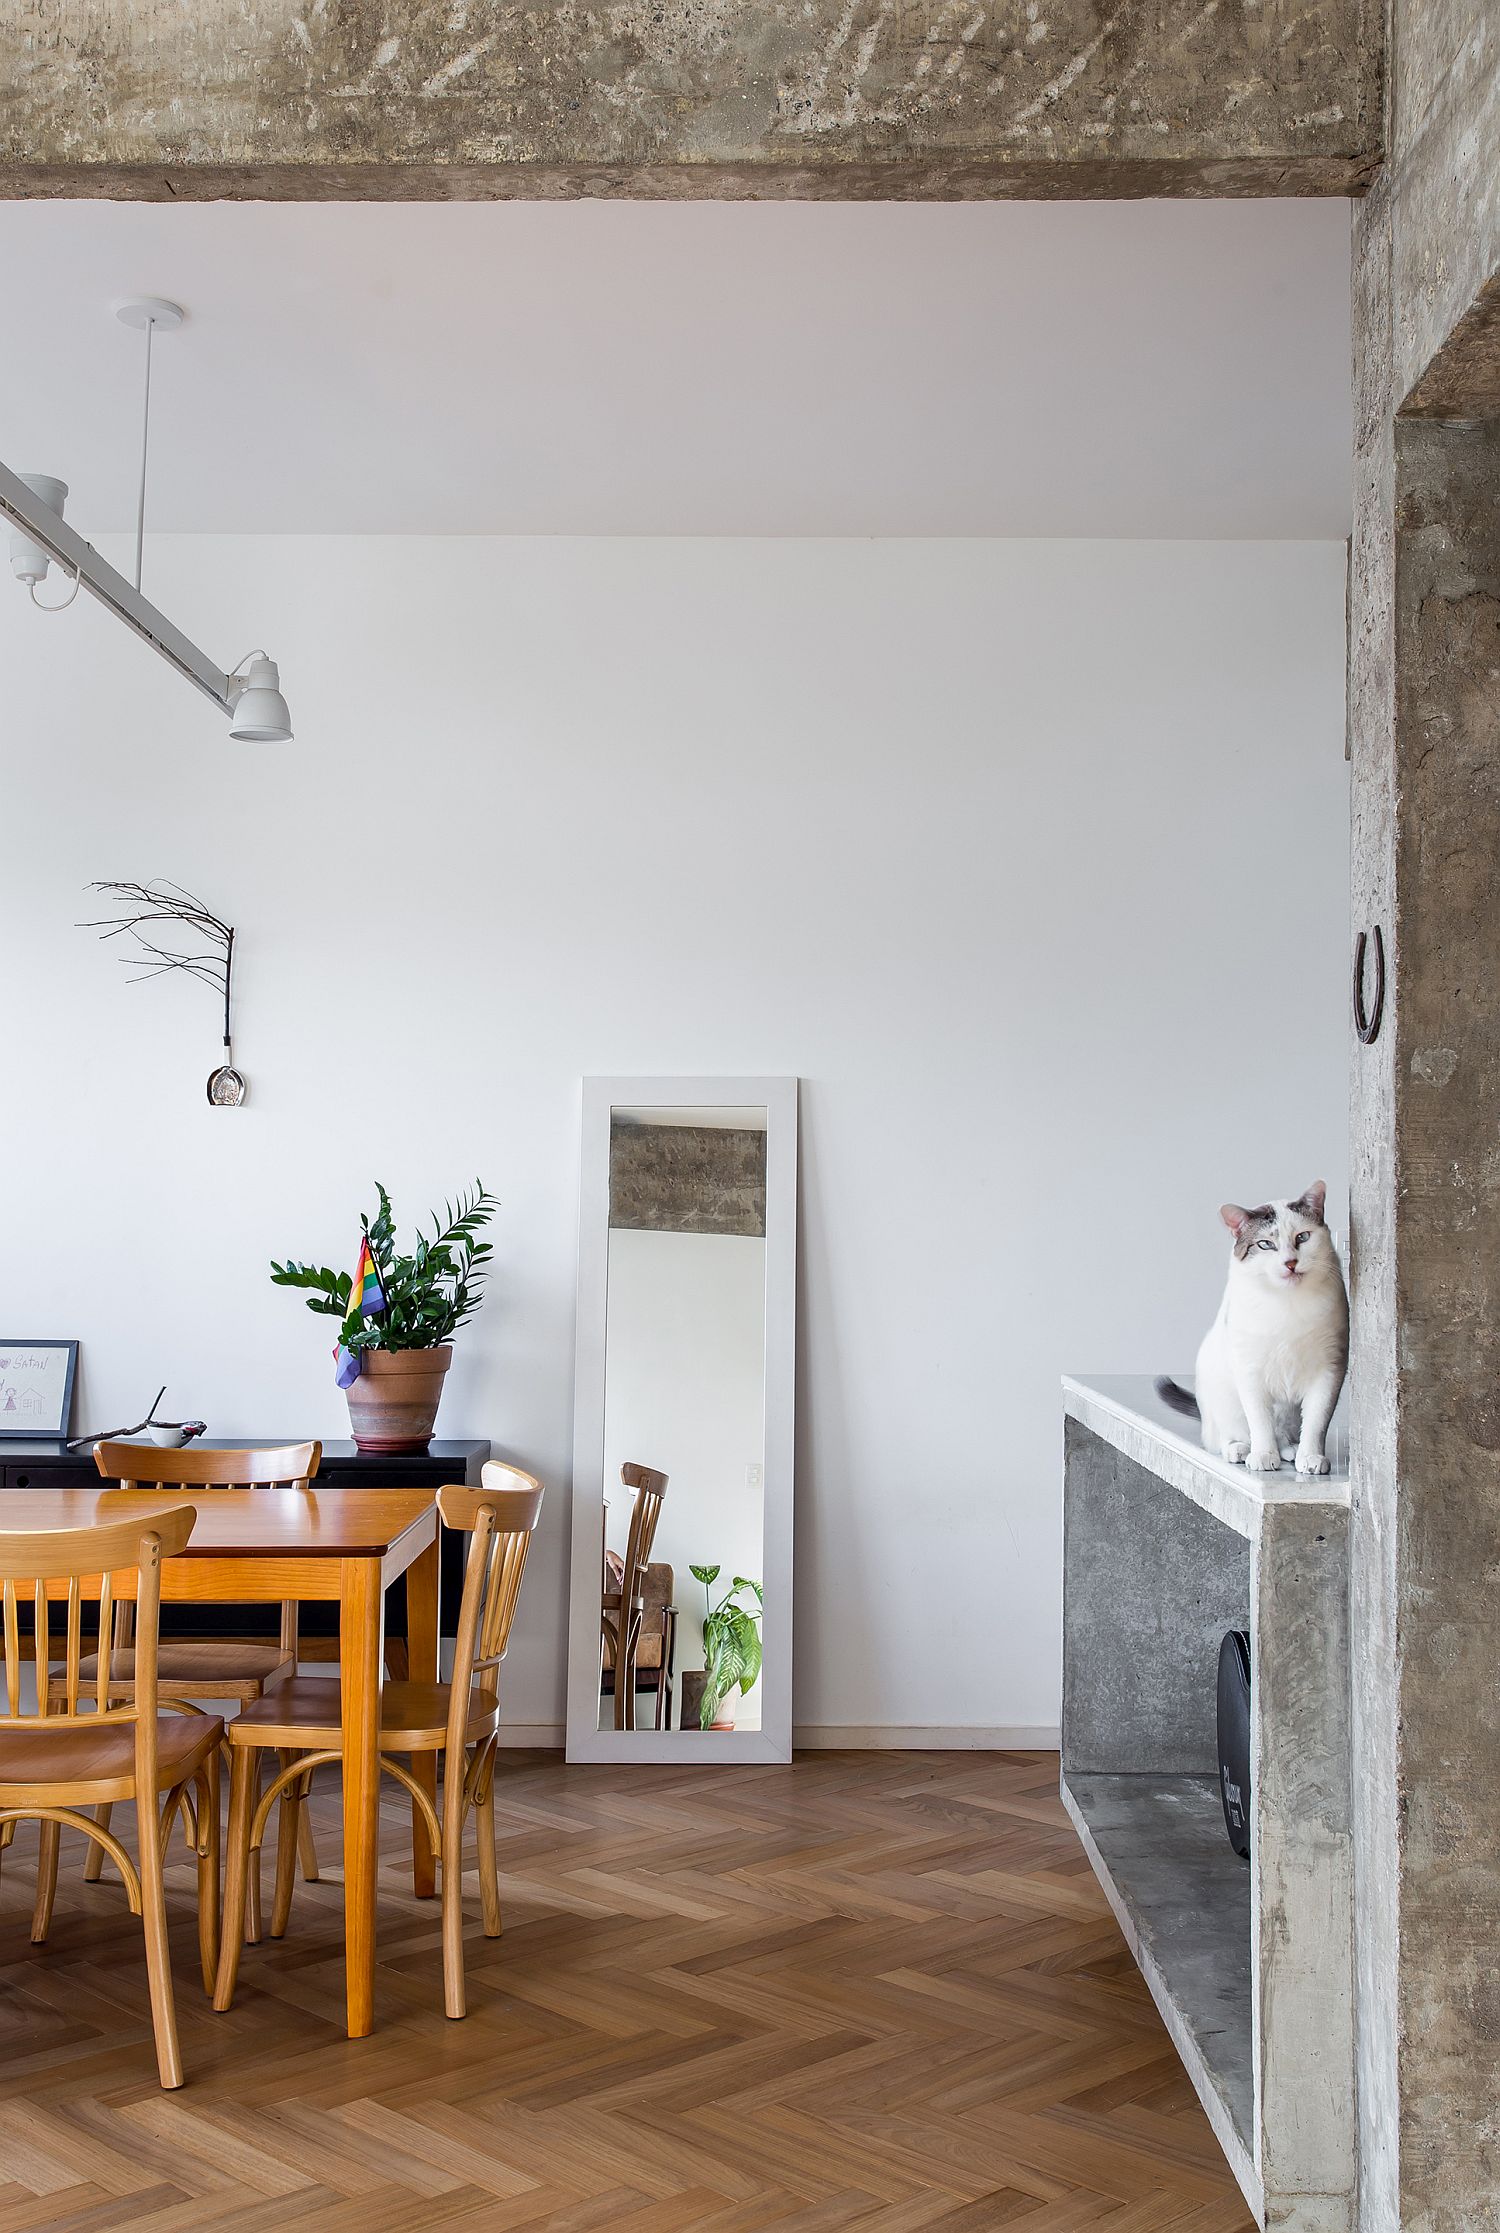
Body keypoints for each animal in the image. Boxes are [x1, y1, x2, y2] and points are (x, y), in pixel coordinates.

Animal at [1151, 1179, 1357, 1473]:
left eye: (1302, 1238)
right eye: (1265, 1244)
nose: (1290, 1263)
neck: (1288, 1304)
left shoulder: (1329, 1369)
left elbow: (1316, 1423)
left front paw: (1311, 1457)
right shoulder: (1249, 1370)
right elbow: (1260, 1421)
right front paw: (1262, 1456)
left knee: (1284, 1432)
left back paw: (1290, 1450)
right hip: (1220, 1397)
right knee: (1228, 1435)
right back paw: (1240, 1449)